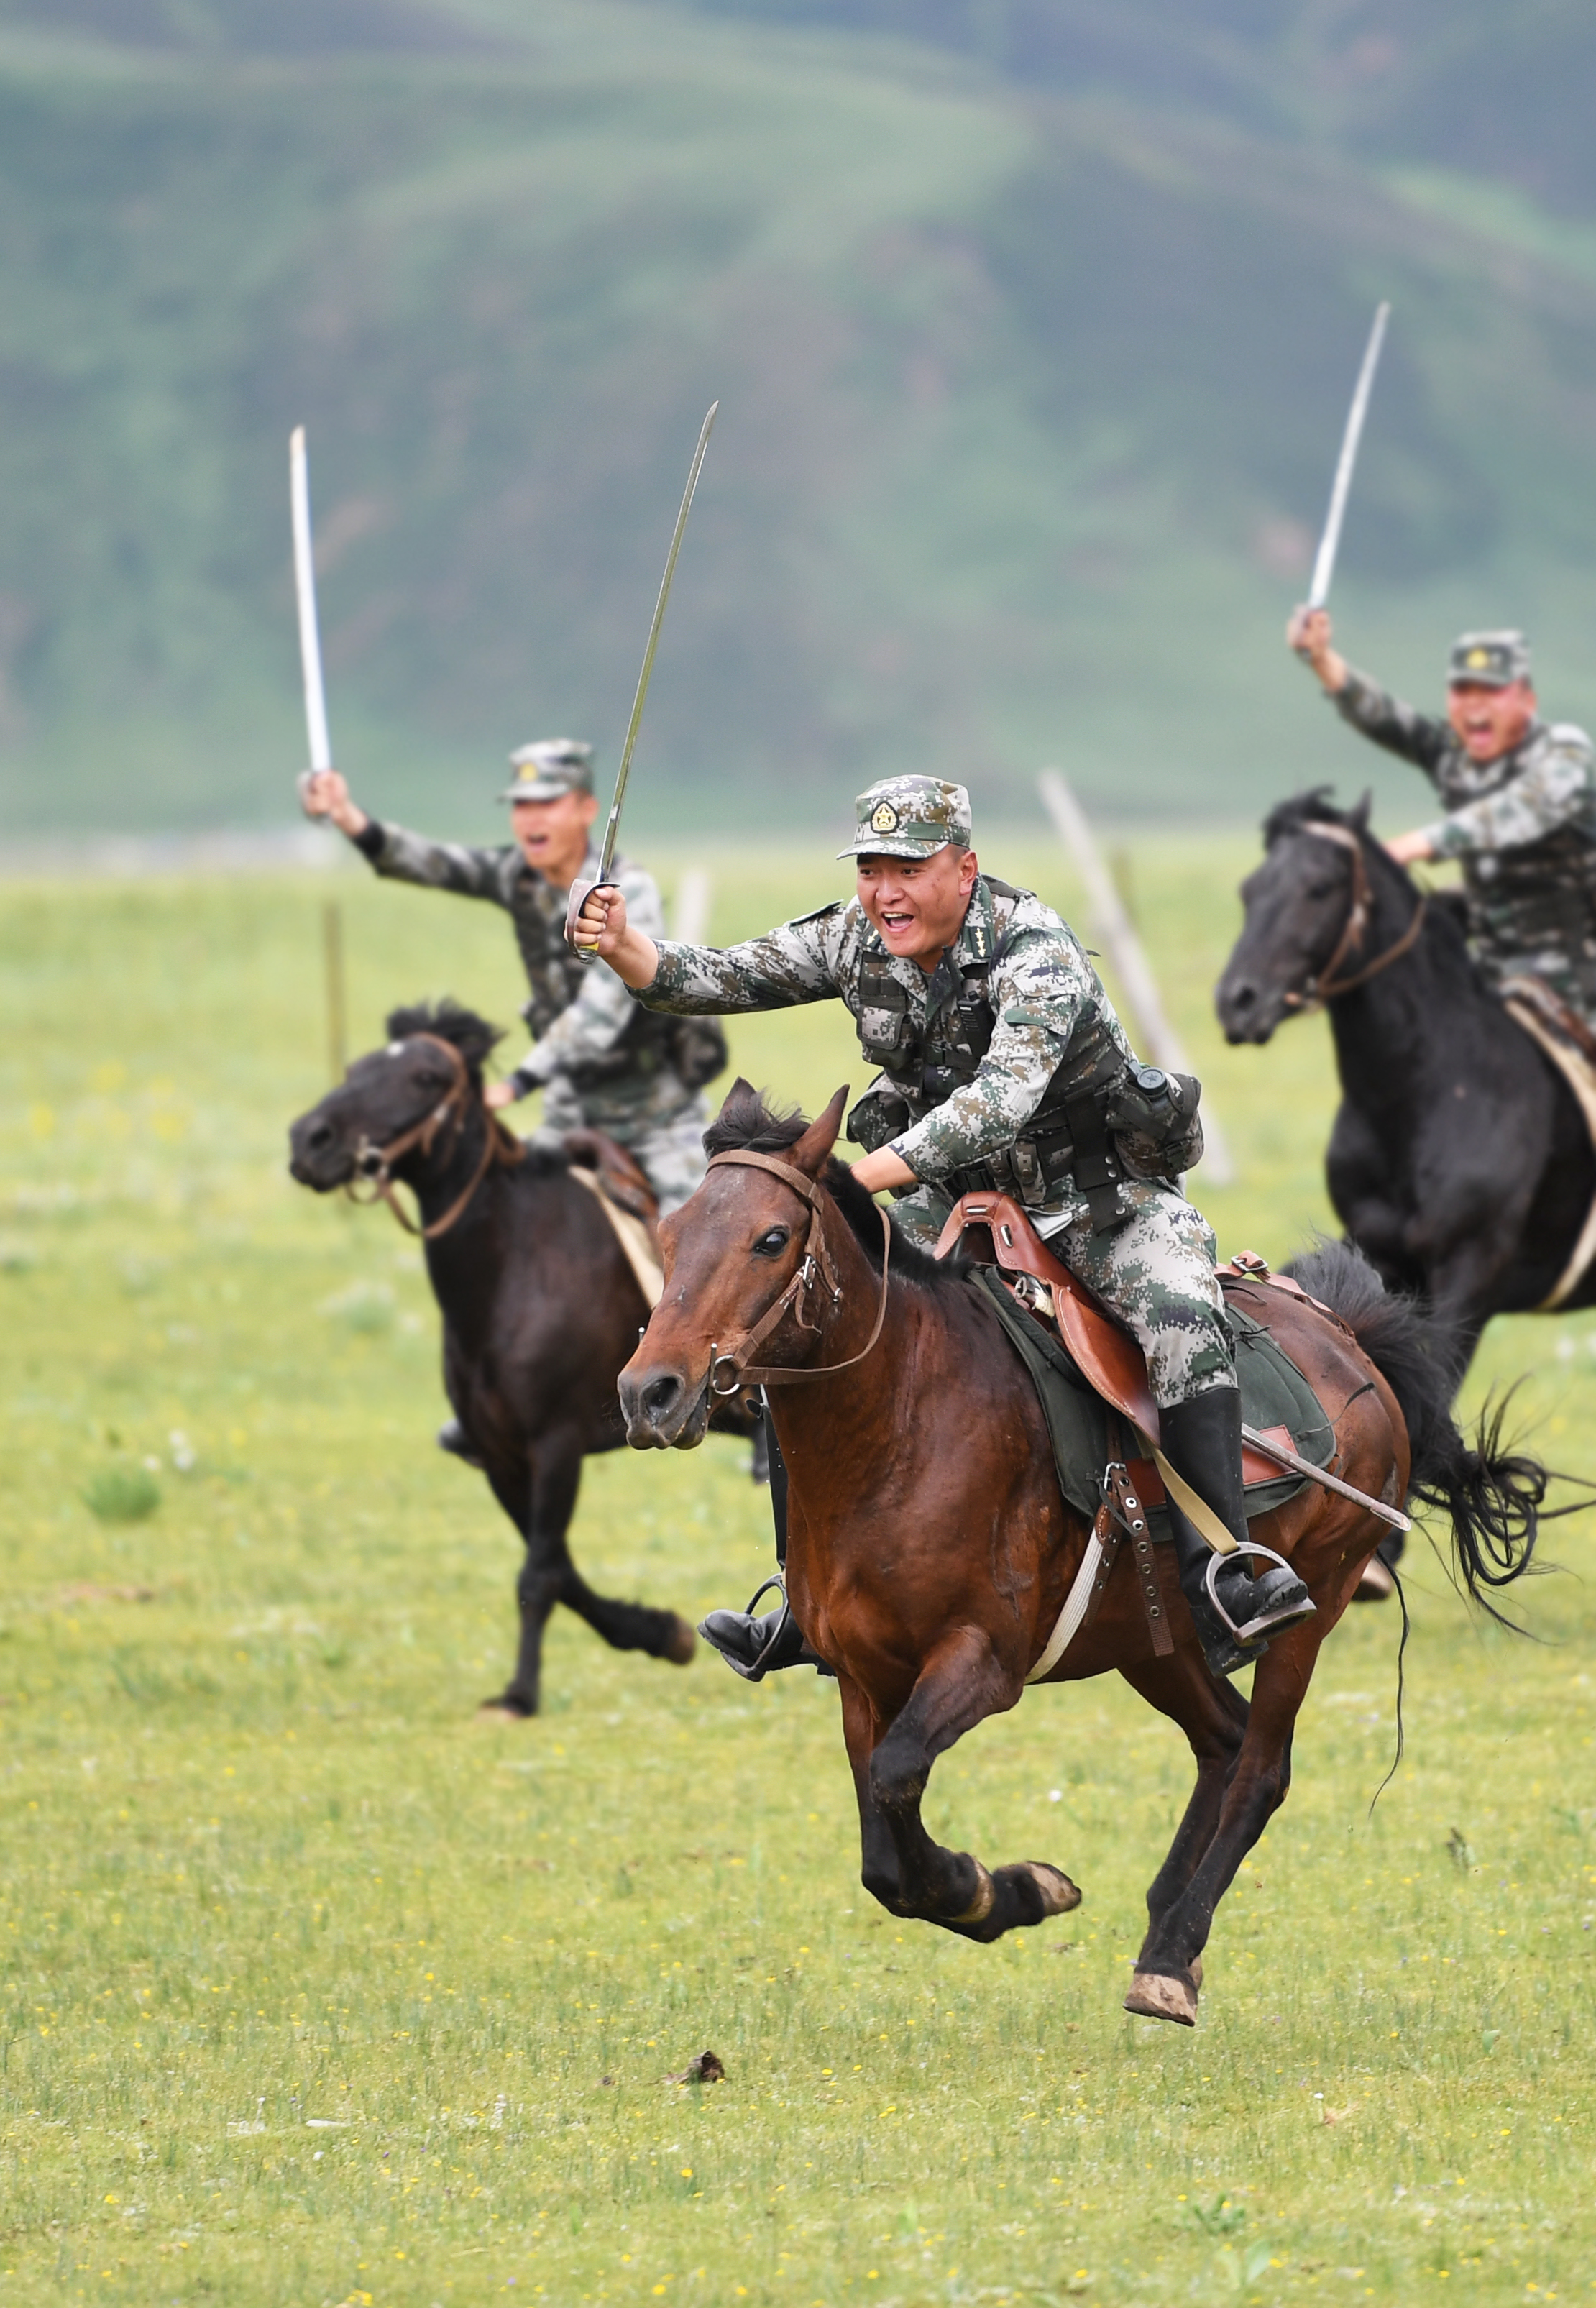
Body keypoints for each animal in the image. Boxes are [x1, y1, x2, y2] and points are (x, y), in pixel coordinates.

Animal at [288, 1002, 710, 1726]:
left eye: (426, 1076)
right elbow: (558, 1568)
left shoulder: (557, 1445)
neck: (515, 1264)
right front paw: (661, 1632)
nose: (310, 1140)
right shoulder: (501, 1455)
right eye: (357, 1068)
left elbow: (540, 1573)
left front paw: (519, 1694)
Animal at [613, 1080, 1549, 2021]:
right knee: (1223, 1741)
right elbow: (886, 1857)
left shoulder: (982, 1662)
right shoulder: (860, 1678)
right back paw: (1169, 1928)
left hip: (1310, 1606)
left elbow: (899, 1777)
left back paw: (1171, 1955)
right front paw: (1005, 1890)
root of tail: (1353, 1341)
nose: (649, 1392)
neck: (903, 1423)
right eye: (670, 1234)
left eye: (771, 1238)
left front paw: (1008, 1888)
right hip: (1155, 1640)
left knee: (1260, 1768)